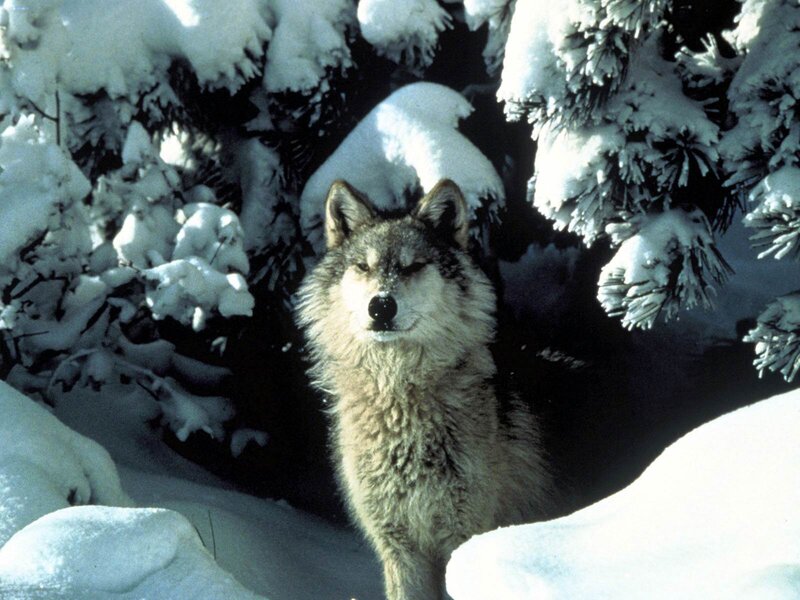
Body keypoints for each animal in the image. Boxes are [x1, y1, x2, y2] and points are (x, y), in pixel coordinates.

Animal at [296, 179, 553, 600]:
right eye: (363, 266)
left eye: (413, 266)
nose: (381, 306)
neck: (398, 399)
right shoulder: (399, 548)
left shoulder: (462, 539)